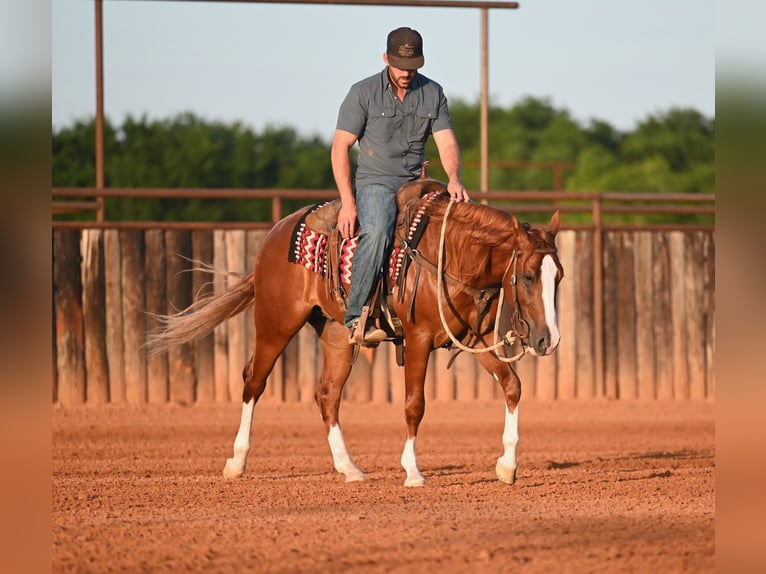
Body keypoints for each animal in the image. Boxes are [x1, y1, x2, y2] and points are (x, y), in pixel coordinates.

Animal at [147, 178, 563, 486]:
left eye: (557, 276)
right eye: (528, 276)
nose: (549, 339)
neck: (452, 254)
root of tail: (276, 233)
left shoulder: (476, 340)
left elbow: (512, 386)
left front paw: (507, 465)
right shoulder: (418, 339)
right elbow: (414, 404)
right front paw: (412, 471)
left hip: (335, 336)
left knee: (327, 394)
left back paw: (349, 467)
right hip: (275, 323)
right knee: (254, 381)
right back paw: (236, 461)